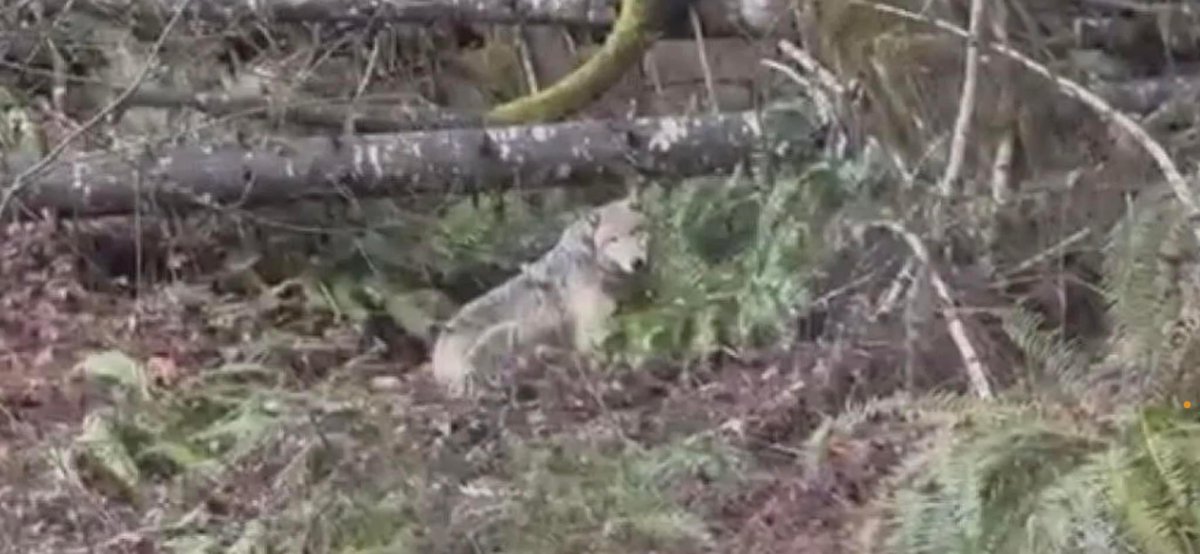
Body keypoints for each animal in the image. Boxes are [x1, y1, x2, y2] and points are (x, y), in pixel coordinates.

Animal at [430, 191, 650, 396]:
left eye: (635, 231)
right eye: (613, 240)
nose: (637, 262)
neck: (591, 258)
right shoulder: (591, 325)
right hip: (508, 333)